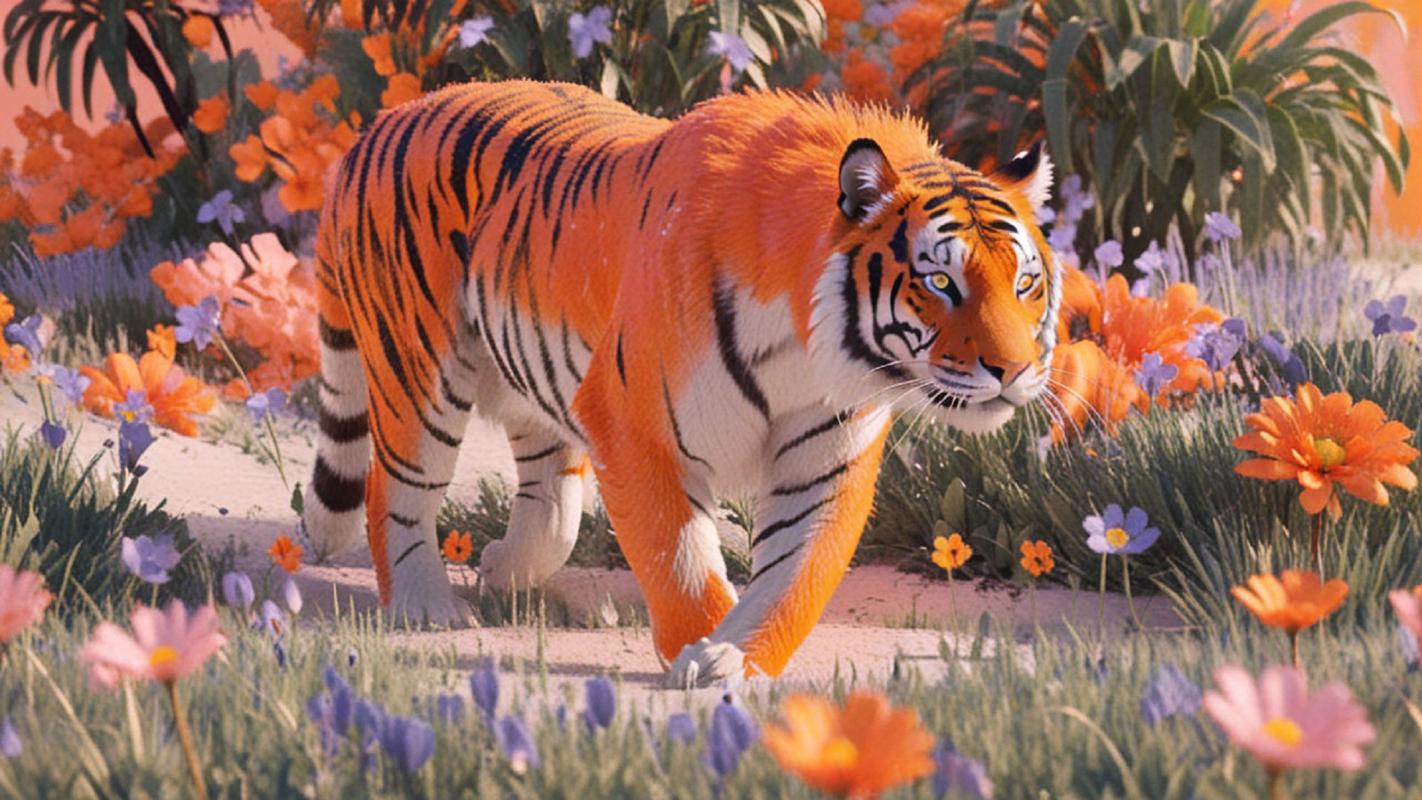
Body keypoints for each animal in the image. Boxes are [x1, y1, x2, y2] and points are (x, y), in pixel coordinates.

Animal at [303, 79, 1058, 686]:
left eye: (1026, 282)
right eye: (941, 283)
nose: (1016, 370)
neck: (803, 349)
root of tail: (383, 121)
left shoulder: (825, 459)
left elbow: (795, 572)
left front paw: (735, 659)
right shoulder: (633, 426)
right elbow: (679, 559)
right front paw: (700, 649)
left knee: (551, 501)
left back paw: (503, 568)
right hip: (418, 369)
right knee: (396, 488)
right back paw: (426, 606)